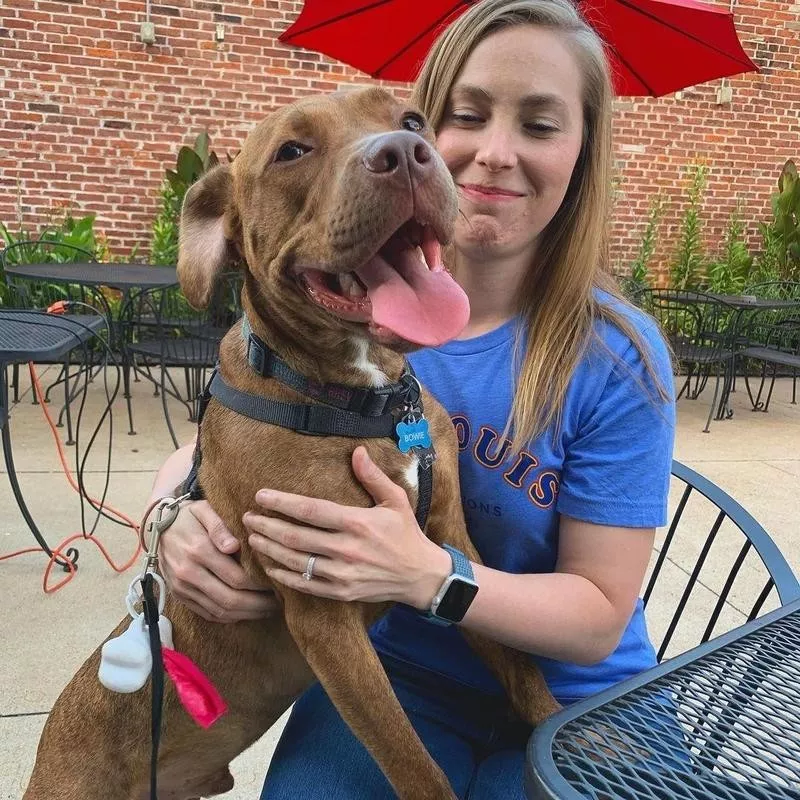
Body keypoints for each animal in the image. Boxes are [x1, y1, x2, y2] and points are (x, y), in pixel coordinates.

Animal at [26, 89, 564, 800]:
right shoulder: (325, 615)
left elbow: (523, 670)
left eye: (412, 121)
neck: (364, 398)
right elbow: (412, 761)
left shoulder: (452, 541)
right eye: (292, 151)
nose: (406, 153)